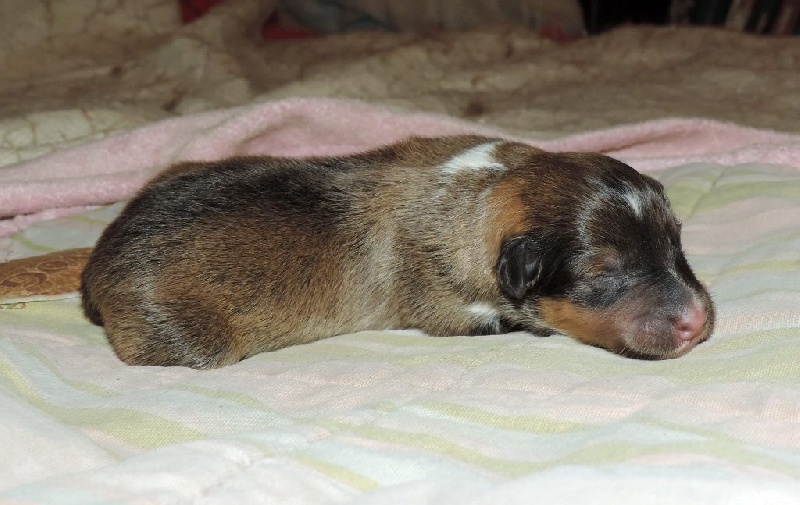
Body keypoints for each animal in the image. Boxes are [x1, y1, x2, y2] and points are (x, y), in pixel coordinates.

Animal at [83, 136, 720, 368]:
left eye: (676, 242)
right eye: (602, 270)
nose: (695, 321)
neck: (486, 191)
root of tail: (95, 269)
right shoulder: (447, 304)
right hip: (184, 332)